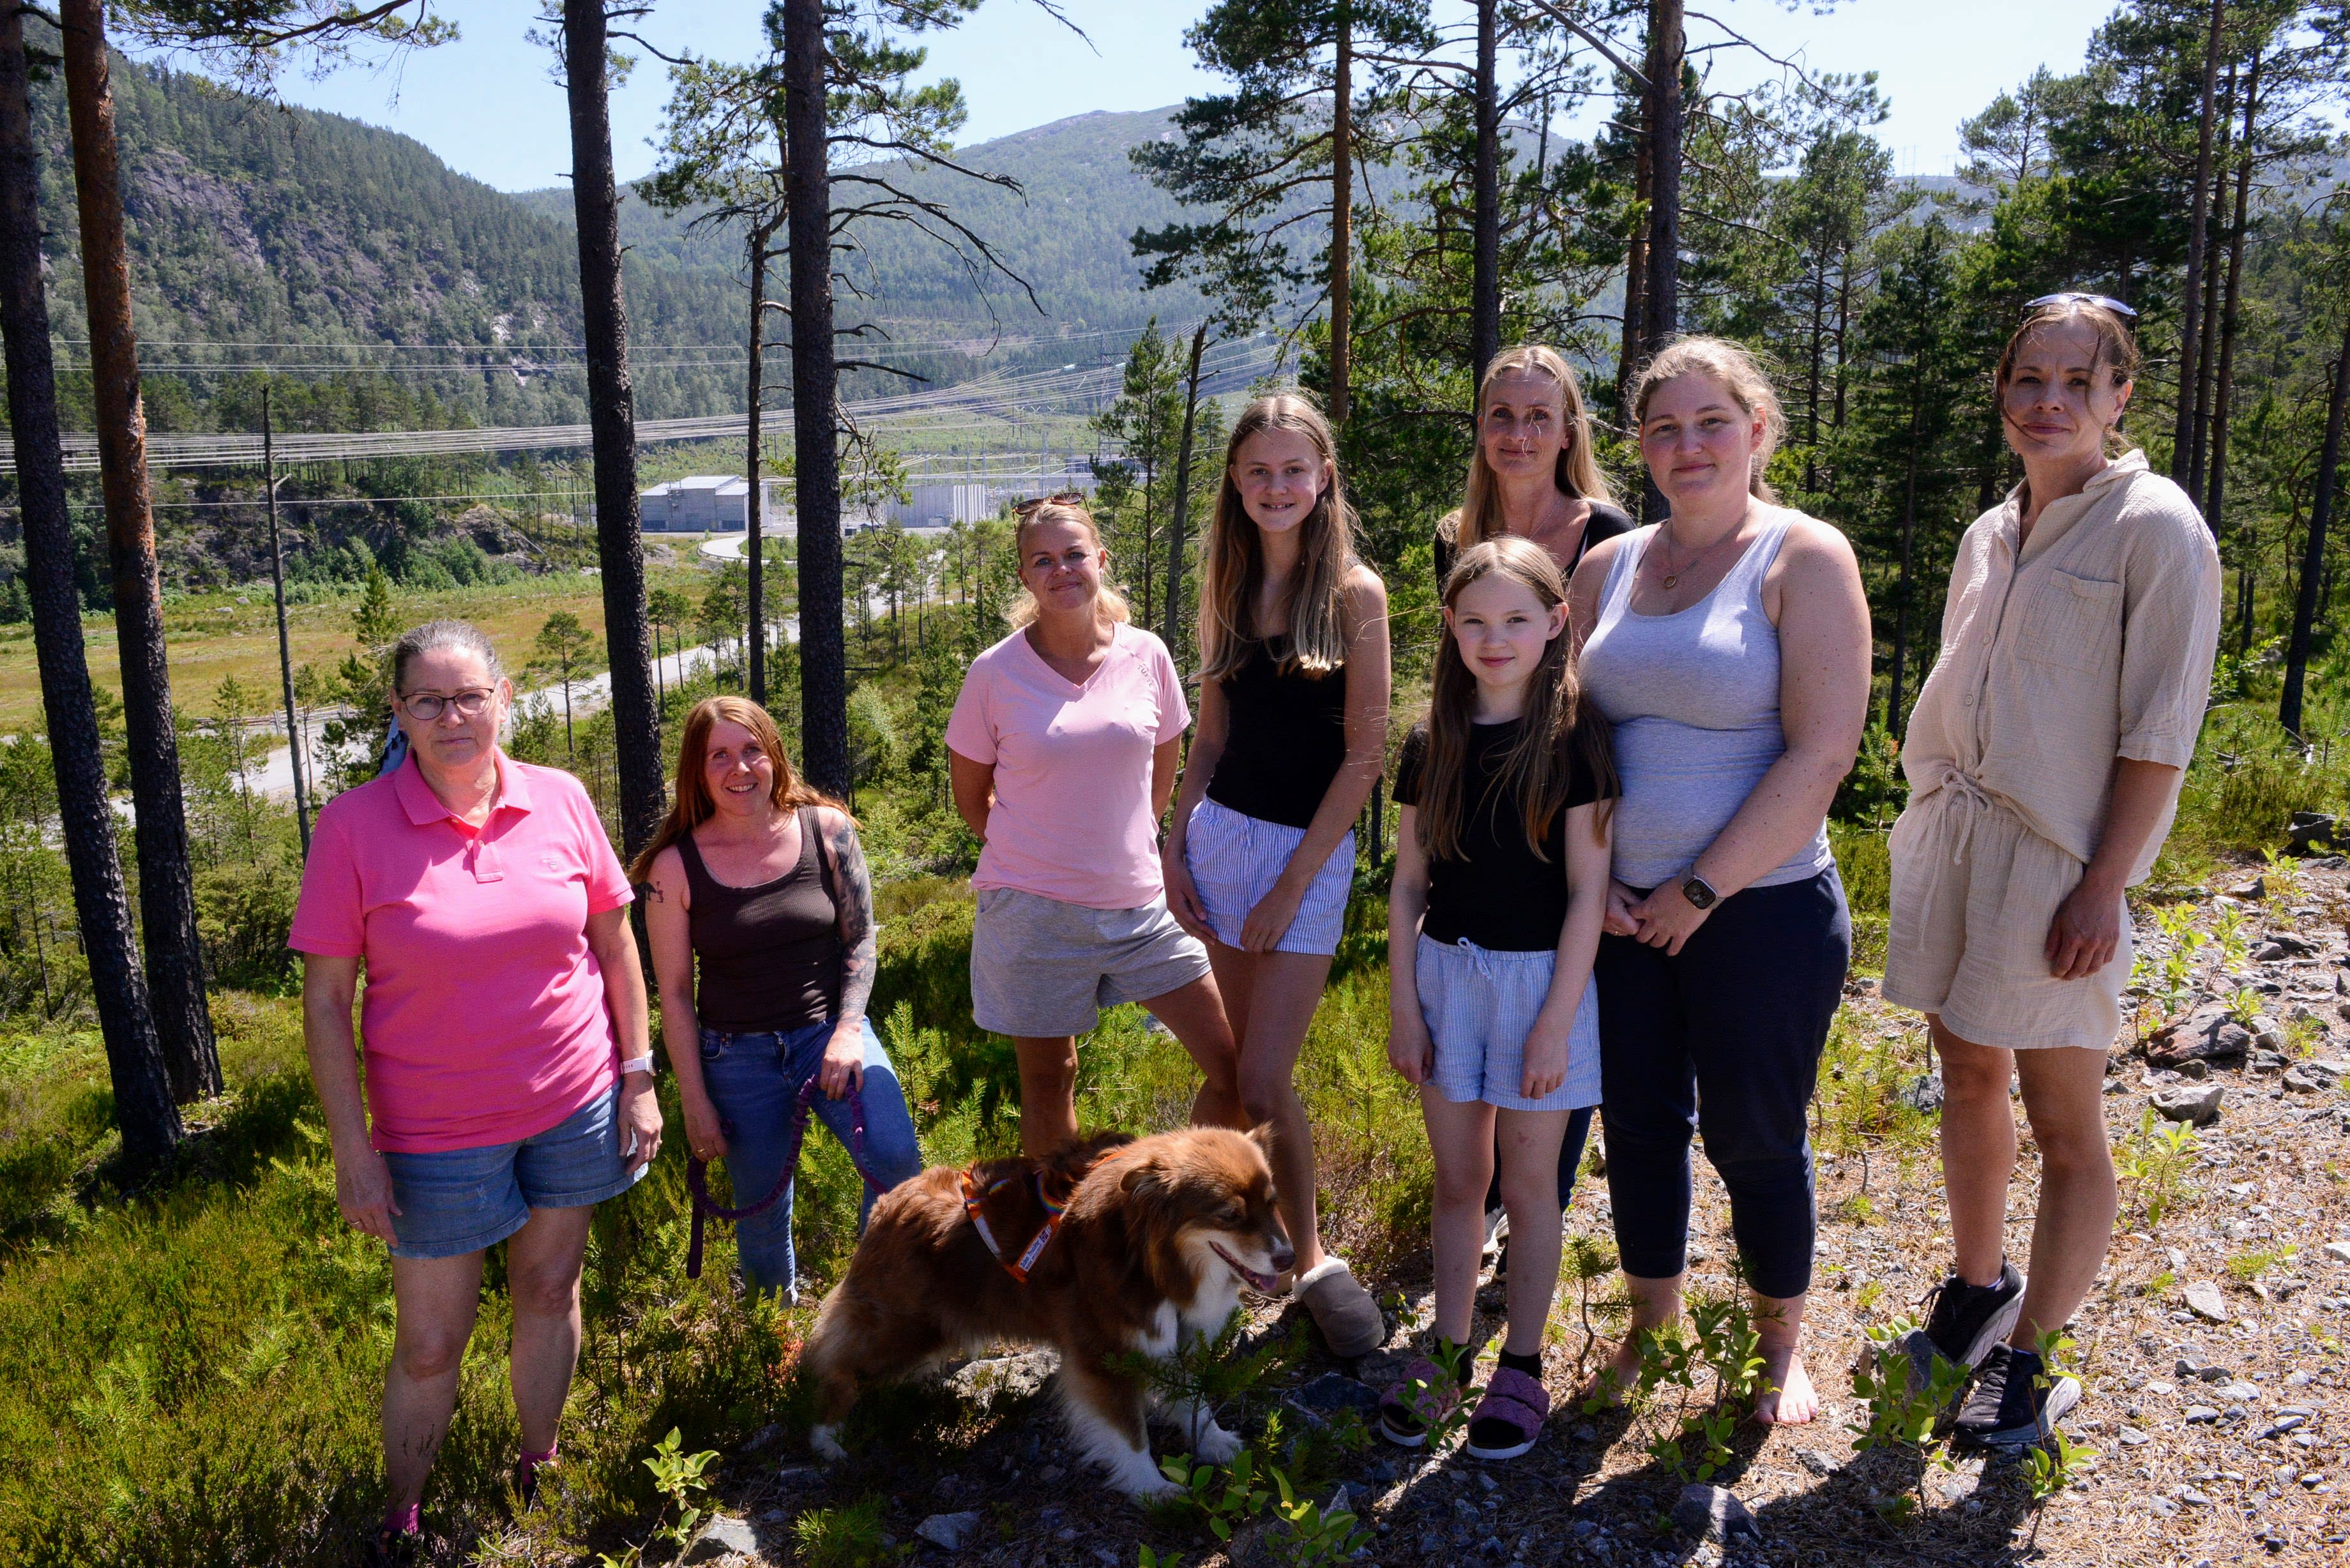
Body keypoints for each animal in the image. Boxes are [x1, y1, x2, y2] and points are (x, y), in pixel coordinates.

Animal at [799, 1125, 1295, 1497]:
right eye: (1230, 1216)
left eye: (1273, 1203)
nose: (1289, 1259)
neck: (1147, 1258)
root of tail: (885, 1204)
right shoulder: (1104, 1356)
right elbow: (1130, 1433)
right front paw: (1151, 1488)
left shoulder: (1170, 1337)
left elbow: (1193, 1402)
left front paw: (1214, 1442)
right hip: (900, 1332)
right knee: (836, 1363)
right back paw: (826, 1437)